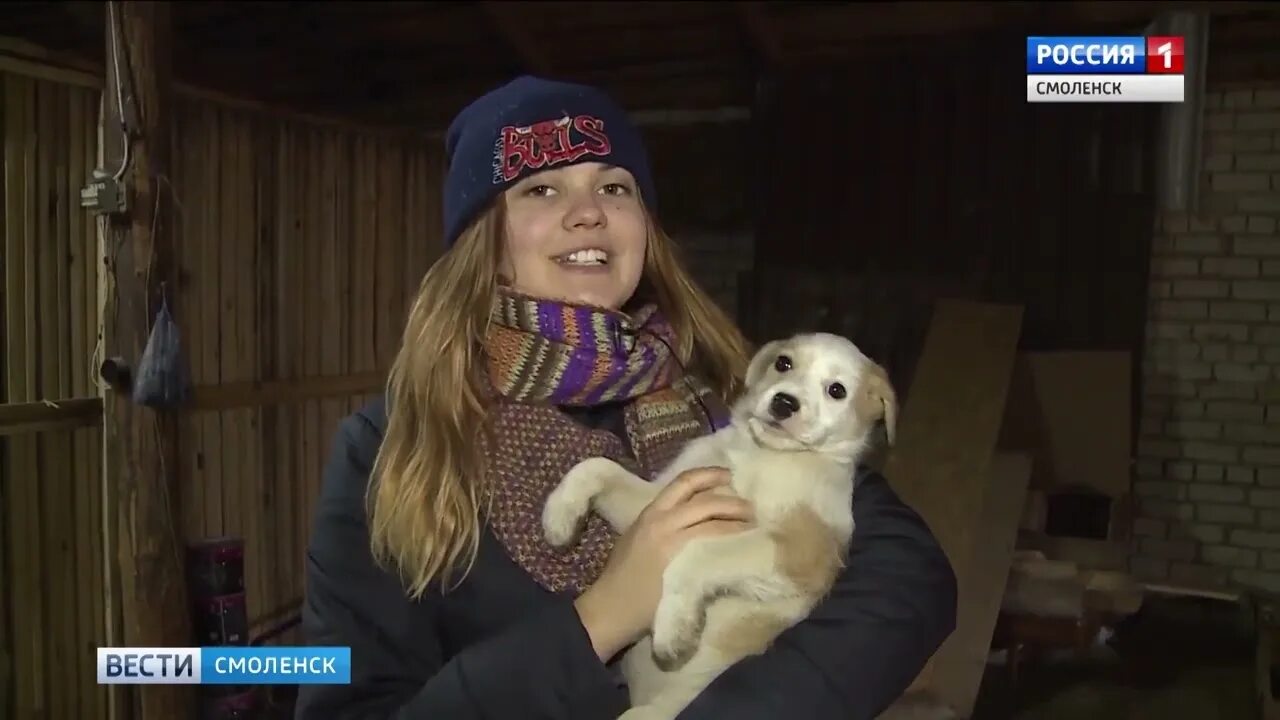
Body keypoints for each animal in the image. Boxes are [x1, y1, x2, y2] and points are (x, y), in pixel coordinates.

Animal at [542, 330, 901, 717]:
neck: (763, 454)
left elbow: (700, 553)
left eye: (837, 390)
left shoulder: (799, 552)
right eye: (784, 363)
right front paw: (559, 515)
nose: (784, 403)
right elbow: (596, 466)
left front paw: (674, 626)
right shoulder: (659, 502)